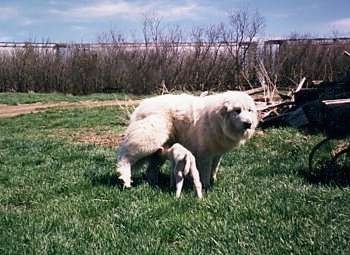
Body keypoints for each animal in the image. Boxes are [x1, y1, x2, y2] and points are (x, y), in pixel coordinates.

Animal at [116, 91, 258, 189]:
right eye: (237, 110)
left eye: (249, 110)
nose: (248, 124)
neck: (219, 119)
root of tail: (142, 105)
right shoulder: (205, 154)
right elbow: (206, 171)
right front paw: (206, 186)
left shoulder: (217, 153)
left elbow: (214, 168)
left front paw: (214, 181)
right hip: (148, 140)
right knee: (125, 157)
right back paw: (125, 180)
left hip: (160, 150)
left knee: (150, 170)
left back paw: (153, 183)